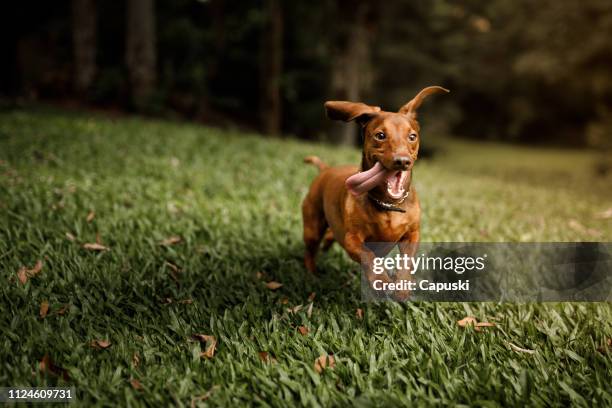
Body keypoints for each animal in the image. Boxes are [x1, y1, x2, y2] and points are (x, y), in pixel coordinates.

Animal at [302, 86, 450, 296]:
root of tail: (326, 170)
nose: (402, 161)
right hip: (312, 228)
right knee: (310, 251)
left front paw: (402, 285)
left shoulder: (412, 235)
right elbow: (368, 255)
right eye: (380, 135)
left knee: (330, 235)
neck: (389, 205)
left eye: (412, 136)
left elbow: (407, 261)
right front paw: (380, 279)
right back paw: (312, 273)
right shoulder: (352, 240)